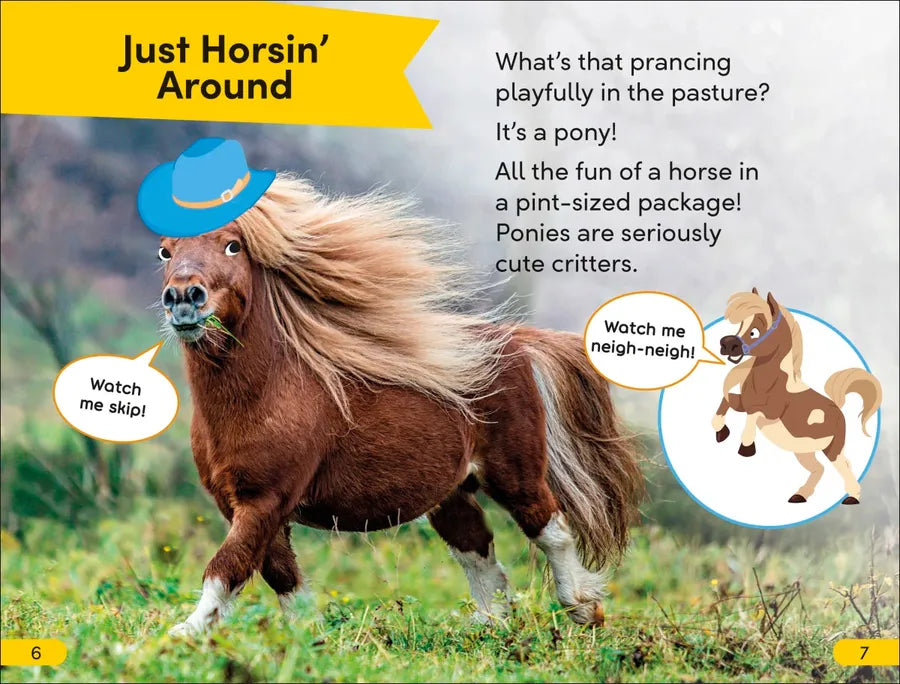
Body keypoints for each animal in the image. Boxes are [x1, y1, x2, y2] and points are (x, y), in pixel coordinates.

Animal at [157, 175, 643, 635]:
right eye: (165, 251)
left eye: (232, 245)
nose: (183, 298)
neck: (265, 394)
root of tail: (517, 344)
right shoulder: (244, 504)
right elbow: (279, 573)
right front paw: (306, 633)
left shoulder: (265, 499)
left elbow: (228, 566)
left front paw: (185, 631)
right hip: (452, 492)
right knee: (478, 548)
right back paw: (489, 626)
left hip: (514, 473)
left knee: (549, 527)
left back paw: (583, 608)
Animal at [711, 288, 881, 505]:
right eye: (741, 325)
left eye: (754, 331)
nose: (726, 345)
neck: (770, 383)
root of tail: (838, 409)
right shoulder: (743, 403)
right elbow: (725, 403)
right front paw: (721, 433)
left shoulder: (769, 413)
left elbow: (752, 418)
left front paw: (746, 448)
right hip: (804, 451)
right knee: (824, 468)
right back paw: (799, 496)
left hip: (831, 449)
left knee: (842, 466)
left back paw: (851, 498)